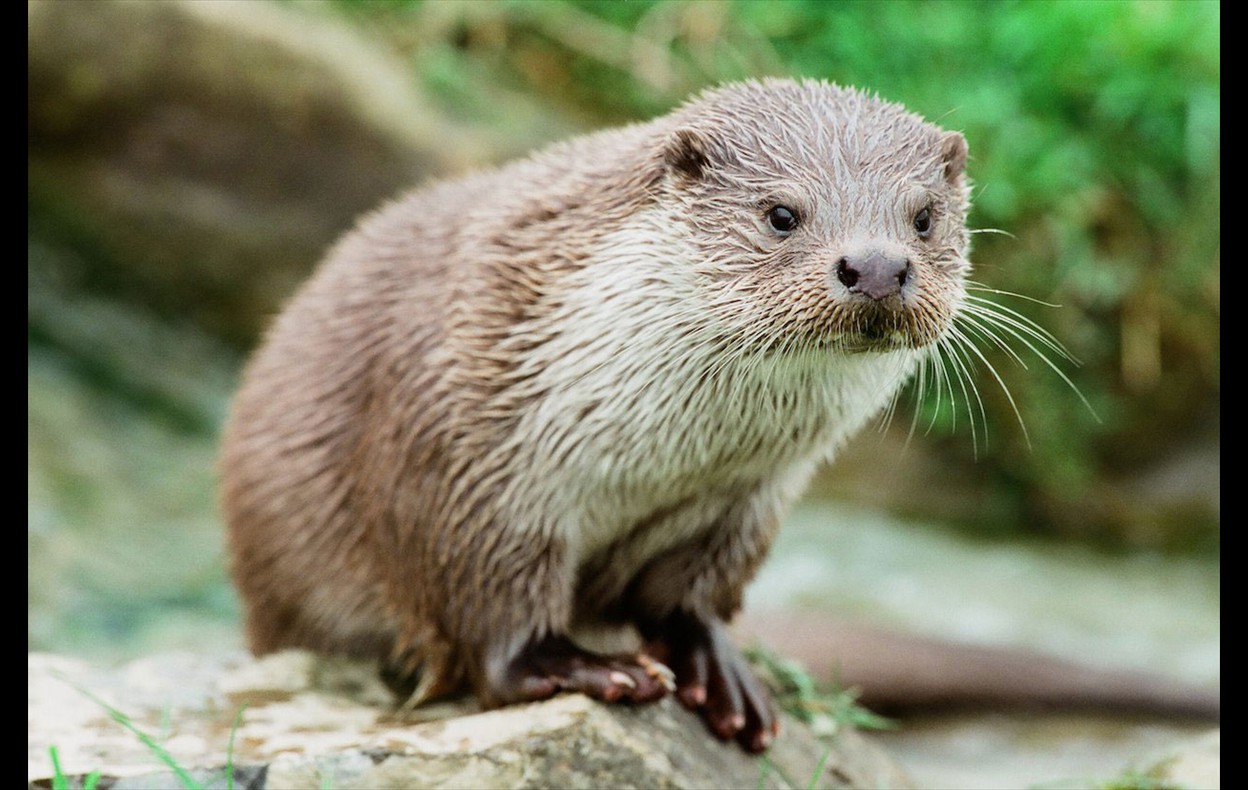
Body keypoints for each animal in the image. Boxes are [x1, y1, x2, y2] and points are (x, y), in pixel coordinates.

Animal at [220, 78, 971, 753]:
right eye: (781, 214)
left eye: (924, 217)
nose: (876, 267)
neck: (666, 453)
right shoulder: (460, 443)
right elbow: (478, 592)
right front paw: (570, 667)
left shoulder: (745, 499)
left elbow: (689, 593)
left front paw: (716, 672)